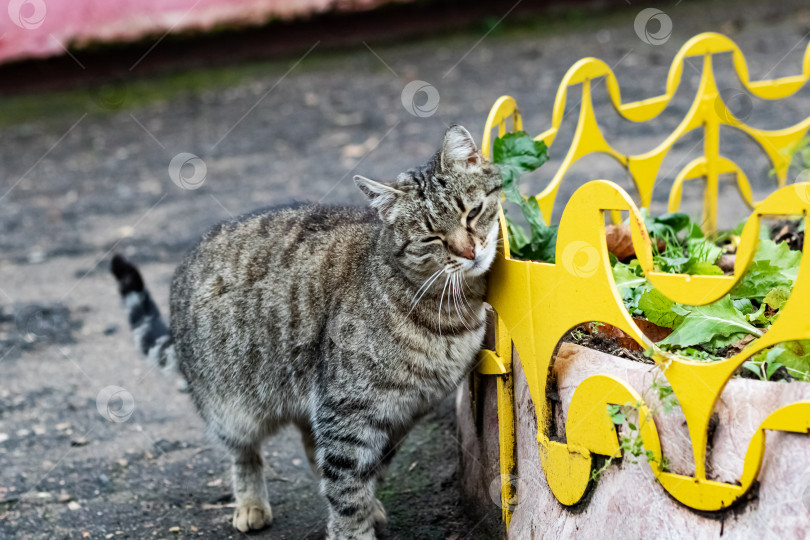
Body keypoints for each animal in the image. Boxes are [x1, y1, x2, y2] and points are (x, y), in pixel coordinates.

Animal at [107, 125, 498, 536]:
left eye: (472, 213)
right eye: (431, 237)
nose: (470, 252)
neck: (451, 310)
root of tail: (185, 261)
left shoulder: (403, 413)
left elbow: (366, 471)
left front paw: (369, 503)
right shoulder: (346, 409)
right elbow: (347, 488)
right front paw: (353, 531)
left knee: (311, 447)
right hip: (230, 407)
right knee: (243, 453)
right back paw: (250, 503)